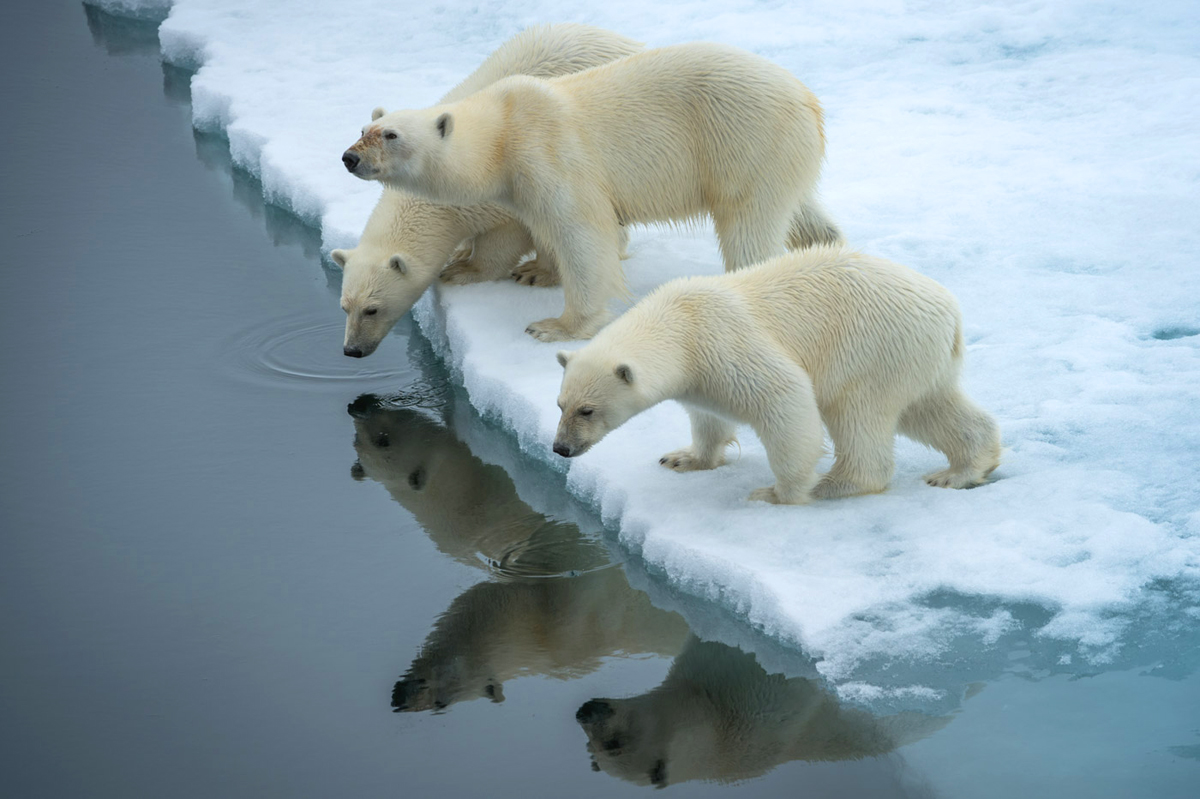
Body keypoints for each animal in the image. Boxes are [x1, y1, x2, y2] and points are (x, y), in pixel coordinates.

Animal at [328, 23, 648, 355]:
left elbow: (505, 240)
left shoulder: (504, 195)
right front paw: (461, 252)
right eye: (344, 306)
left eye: (372, 309)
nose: (352, 350)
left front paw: (463, 269)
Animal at [343, 41, 840, 338]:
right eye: (365, 128)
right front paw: (535, 272)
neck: (504, 129)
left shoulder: (549, 154)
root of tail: (809, 101)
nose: (350, 157)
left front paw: (553, 325)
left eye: (390, 135)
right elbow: (542, 226)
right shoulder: (520, 182)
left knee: (748, 227)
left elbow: (582, 235)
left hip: (745, 143)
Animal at [552, 244, 1003, 503]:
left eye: (587, 410)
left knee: (858, 413)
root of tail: (950, 311)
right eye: (559, 404)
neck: (681, 323)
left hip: (872, 348)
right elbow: (708, 416)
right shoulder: (701, 375)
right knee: (930, 406)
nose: (560, 448)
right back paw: (961, 470)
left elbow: (784, 397)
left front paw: (775, 492)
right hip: (917, 356)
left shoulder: (723, 344)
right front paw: (683, 457)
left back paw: (833, 484)